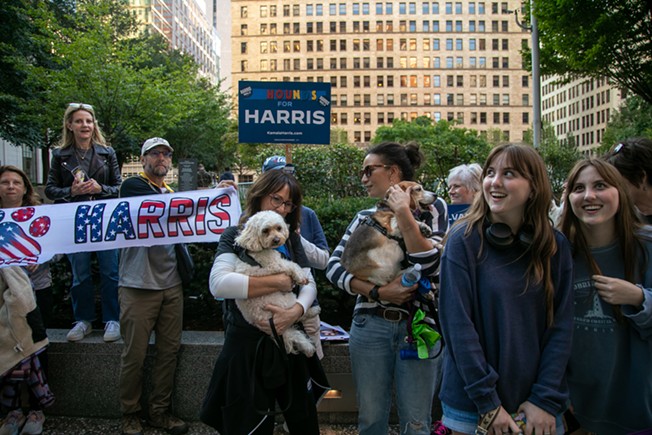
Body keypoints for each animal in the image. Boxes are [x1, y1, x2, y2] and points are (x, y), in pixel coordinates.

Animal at [234, 211, 318, 358]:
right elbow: (292, 265)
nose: (277, 240)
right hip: (286, 301)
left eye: (279, 228)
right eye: (265, 231)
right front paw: (300, 276)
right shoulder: (274, 264)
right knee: (298, 312)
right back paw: (313, 310)